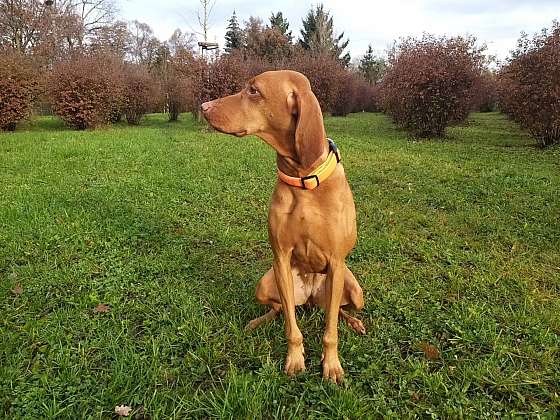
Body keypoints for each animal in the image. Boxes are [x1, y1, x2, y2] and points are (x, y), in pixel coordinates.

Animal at [201, 69, 364, 384]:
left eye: (253, 90)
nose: (204, 106)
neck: (303, 181)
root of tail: (311, 298)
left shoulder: (337, 263)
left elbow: (330, 330)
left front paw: (331, 365)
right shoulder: (281, 258)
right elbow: (291, 324)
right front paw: (295, 359)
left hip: (353, 287)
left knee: (339, 310)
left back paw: (355, 322)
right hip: (266, 283)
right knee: (278, 309)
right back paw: (257, 321)